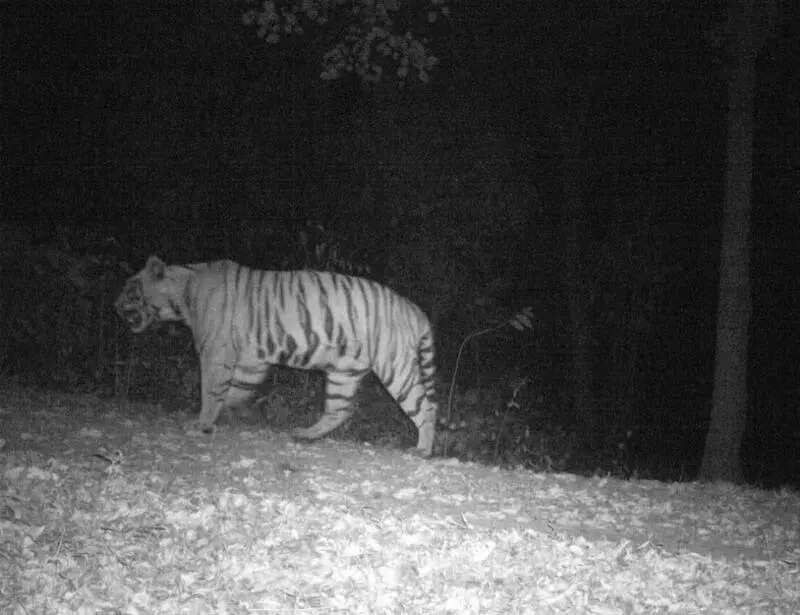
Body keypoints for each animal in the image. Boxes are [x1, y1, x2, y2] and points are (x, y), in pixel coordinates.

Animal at [114, 256, 437, 457]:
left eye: (130, 291)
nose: (113, 305)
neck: (185, 294)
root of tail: (414, 308)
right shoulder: (251, 362)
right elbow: (235, 392)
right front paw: (231, 417)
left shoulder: (216, 352)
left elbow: (211, 390)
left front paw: (201, 423)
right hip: (343, 371)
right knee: (340, 409)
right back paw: (305, 434)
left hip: (394, 367)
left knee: (424, 406)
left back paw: (422, 450)